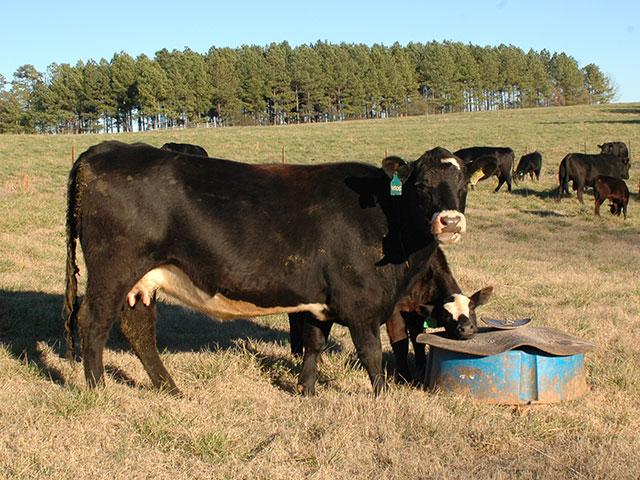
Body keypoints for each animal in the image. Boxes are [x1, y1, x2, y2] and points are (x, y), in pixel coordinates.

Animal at [63, 141, 481, 396]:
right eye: (421, 184)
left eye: (464, 183)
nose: (450, 221)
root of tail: (106, 149)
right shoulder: (361, 304)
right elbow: (372, 354)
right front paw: (381, 397)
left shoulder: (319, 302)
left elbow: (314, 345)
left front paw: (307, 392)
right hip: (113, 270)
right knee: (93, 322)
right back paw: (98, 389)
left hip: (142, 279)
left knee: (138, 329)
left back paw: (170, 389)